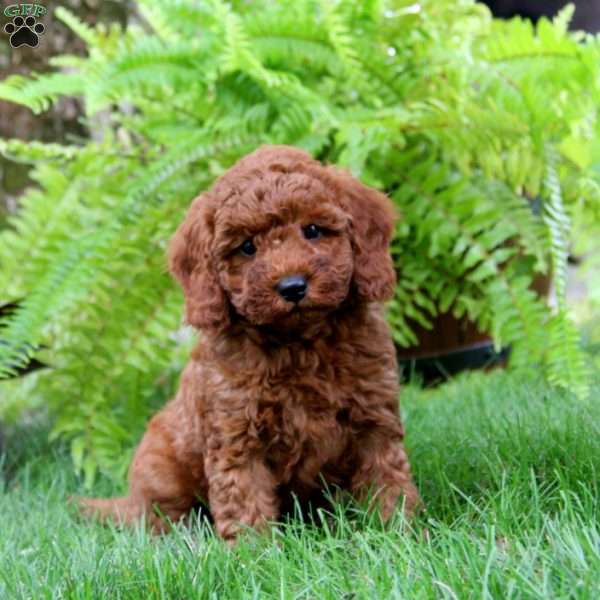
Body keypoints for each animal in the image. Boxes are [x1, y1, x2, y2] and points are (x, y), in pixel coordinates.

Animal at [78, 146, 418, 544]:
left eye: (313, 230)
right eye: (247, 247)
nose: (292, 286)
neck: (300, 343)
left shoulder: (374, 418)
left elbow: (387, 477)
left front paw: (398, 533)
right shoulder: (236, 436)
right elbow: (244, 498)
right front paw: (253, 553)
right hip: (160, 467)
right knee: (158, 517)